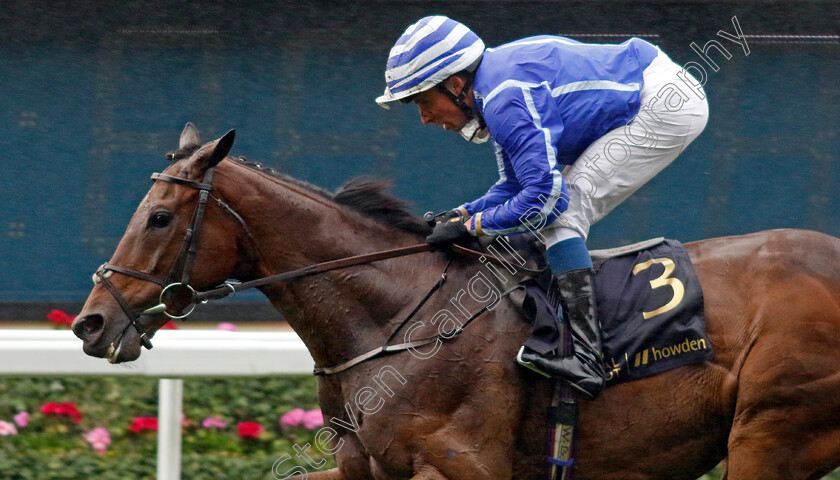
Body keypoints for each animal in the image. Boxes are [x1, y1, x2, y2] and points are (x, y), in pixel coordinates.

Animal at [70, 125, 840, 478]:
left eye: (159, 218)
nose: (91, 321)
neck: (394, 316)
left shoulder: (459, 464)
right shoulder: (363, 467)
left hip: (772, 429)